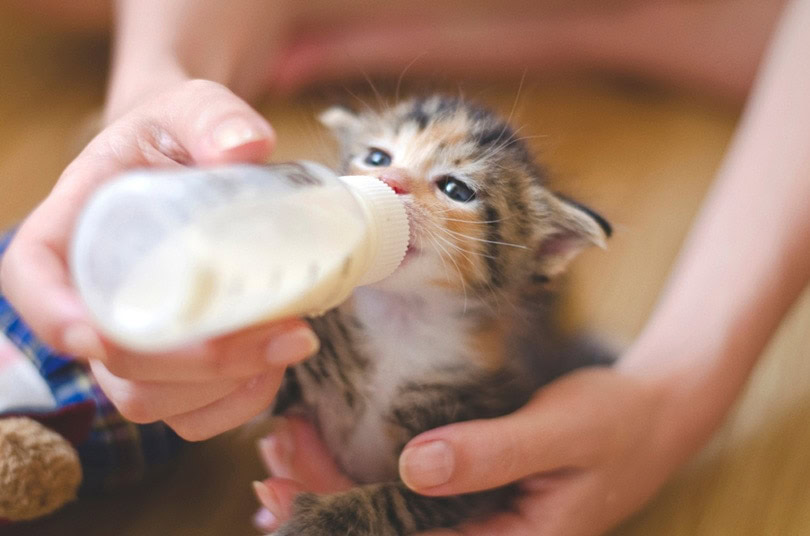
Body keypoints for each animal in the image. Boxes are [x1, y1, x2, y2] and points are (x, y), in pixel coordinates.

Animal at [268, 95, 608, 536]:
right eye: (377, 157)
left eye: (455, 189)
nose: (390, 180)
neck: (401, 316)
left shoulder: (475, 466)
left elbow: (399, 501)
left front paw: (321, 522)